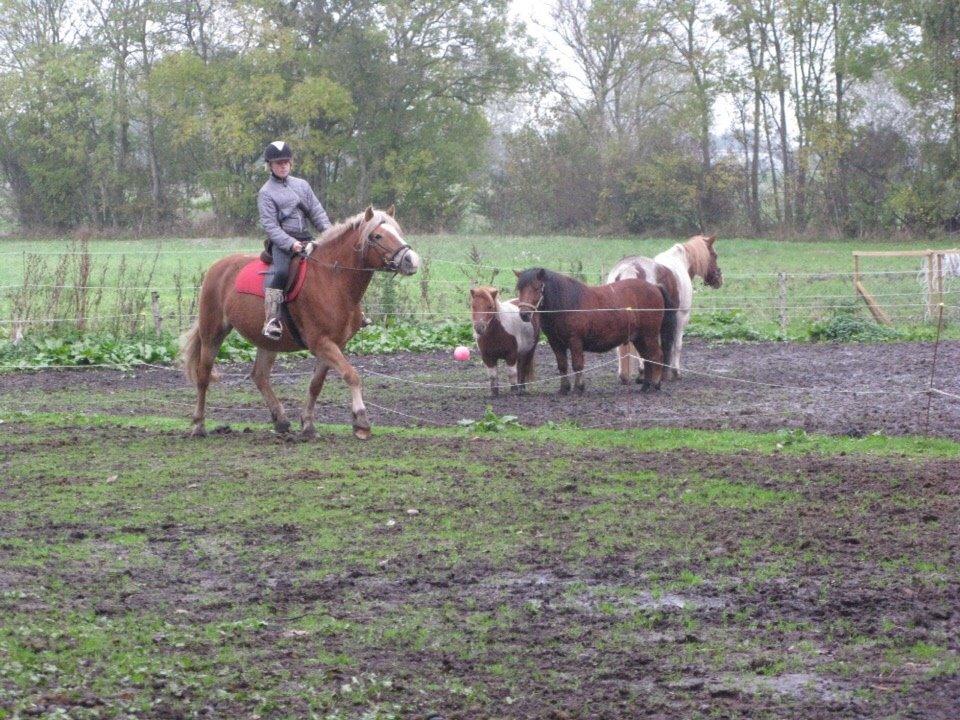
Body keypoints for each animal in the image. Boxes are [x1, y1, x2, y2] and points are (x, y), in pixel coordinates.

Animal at [181, 204, 420, 438]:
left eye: (397, 232)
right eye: (377, 236)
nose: (411, 260)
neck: (332, 280)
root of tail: (218, 267)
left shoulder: (334, 344)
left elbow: (316, 385)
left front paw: (308, 425)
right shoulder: (321, 342)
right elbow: (351, 375)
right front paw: (361, 421)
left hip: (268, 341)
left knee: (259, 376)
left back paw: (281, 420)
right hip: (213, 333)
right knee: (203, 375)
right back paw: (198, 425)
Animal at [516, 268, 676, 394]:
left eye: (537, 287)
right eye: (520, 289)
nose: (524, 314)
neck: (566, 303)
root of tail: (655, 287)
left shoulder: (575, 341)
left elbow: (577, 365)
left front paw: (579, 388)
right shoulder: (555, 343)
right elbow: (562, 365)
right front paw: (564, 389)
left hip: (649, 336)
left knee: (657, 356)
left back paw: (655, 384)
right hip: (639, 338)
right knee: (648, 358)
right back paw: (645, 386)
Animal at [608, 235, 720, 382]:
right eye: (714, 255)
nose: (719, 279)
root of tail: (629, 269)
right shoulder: (681, 317)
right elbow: (676, 345)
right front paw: (675, 372)